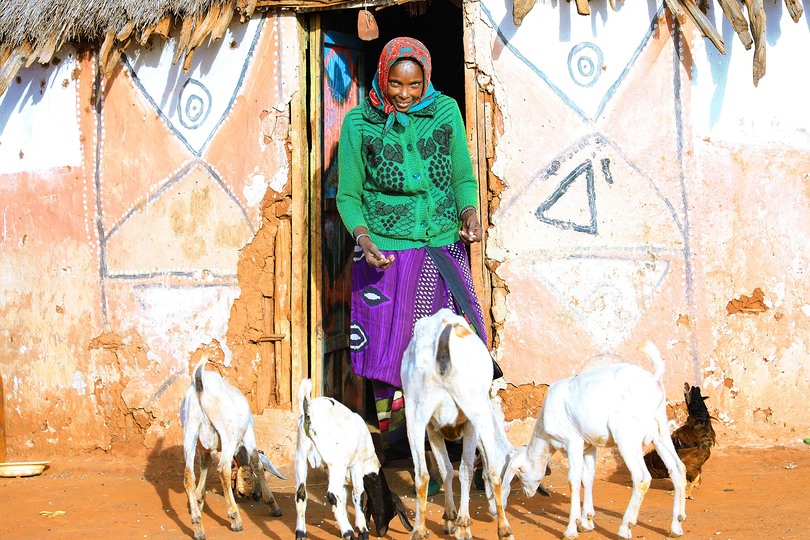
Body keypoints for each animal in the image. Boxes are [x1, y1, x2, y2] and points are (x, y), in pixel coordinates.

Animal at [180, 354, 284, 540]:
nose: (255, 495)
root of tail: (200, 384)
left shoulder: (203, 448)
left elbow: (205, 465)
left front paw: (198, 501)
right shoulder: (248, 432)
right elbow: (256, 463)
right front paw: (272, 504)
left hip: (190, 431)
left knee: (188, 475)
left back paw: (198, 526)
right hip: (227, 434)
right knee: (223, 469)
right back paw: (235, 518)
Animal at [294, 378, 414, 536]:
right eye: (393, 512)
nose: (382, 532)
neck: (371, 462)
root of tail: (310, 411)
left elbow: (343, 499)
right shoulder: (357, 465)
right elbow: (359, 493)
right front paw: (362, 530)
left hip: (301, 456)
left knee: (301, 494)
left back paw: (301, 533)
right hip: (335, 462)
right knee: (331, 495)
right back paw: (349, 533)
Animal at [400, 308, 516, 540]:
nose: (495, 511)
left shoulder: (432, 429)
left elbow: (446, 469)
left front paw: (450, 519)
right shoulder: (472, 427)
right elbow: (468, 470)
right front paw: (463, 524)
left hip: (415, 415)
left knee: (421, 475)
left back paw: (419, 530)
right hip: (476, 412)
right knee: (485, 470)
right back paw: (502, 528)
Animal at [502, 342, 684, 540]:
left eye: (519, 474)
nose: (527, 494)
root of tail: (653, 378)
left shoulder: (572, 442)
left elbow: (573, 480)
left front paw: (571, 529)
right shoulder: (589, 446)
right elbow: (587, 478)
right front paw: (586, 521)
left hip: (626, 437)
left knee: (642, 478)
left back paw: (625, 527)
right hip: (660, 430)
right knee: (678, 468)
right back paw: (676, 526)